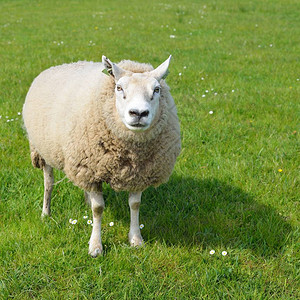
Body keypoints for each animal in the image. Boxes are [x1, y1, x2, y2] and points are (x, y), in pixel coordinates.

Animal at [22, 55, 180, 256]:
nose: (138, 113)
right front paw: (96, 246)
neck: (131, 152)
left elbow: (135, 205)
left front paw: (136, 239)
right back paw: (46, 212)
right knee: (48, 183)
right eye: (119, 88)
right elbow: (98, 209)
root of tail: (62, 65)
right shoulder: (91, 171)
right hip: (45, 151)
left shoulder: (138, 173)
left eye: (157, 89)